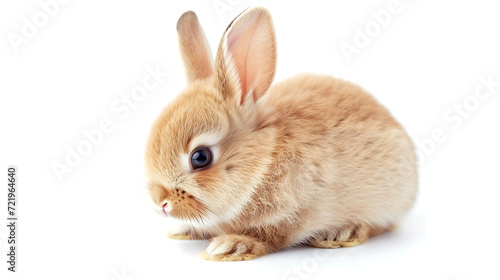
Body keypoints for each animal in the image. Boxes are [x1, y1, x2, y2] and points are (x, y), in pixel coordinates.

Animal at [144, 6, 418, 262]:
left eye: (200, 157)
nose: (160, 204)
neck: (263, 162)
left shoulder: (298, 211)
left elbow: (272, 234)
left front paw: (229, 247)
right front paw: (181, 231)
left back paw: (341, 233)